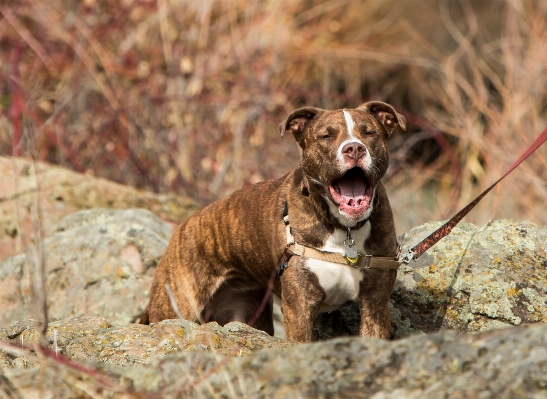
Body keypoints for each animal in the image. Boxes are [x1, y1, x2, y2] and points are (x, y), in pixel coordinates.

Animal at [141, 101, 406, 342]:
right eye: (326, 136)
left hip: (249, 313)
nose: (354, 148)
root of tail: (181, 229)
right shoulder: (299, 307)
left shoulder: (375, 304)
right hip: (177, 306)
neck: (345, 229)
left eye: (368, 132)